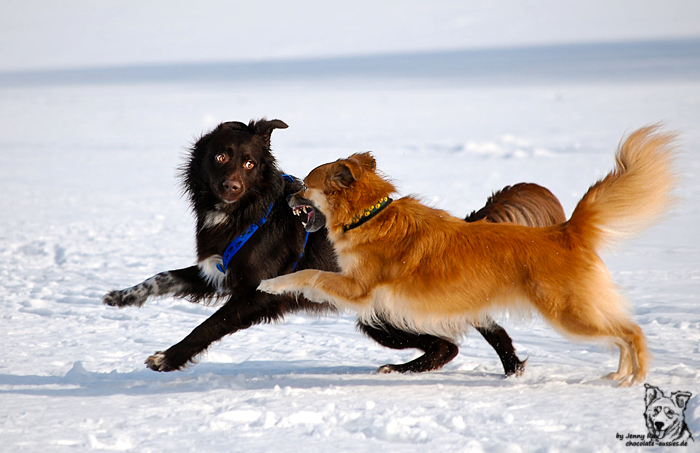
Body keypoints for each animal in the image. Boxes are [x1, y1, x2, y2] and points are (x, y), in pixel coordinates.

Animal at [104, 119, 528, 374]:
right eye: (221, 156)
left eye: (250, 163)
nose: (231, 186)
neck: (248, 211)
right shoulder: (217, 272)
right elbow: (162, 277)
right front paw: (123, 296)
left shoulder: (255, 295)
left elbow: (206, 328)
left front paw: (168, 357)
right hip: (384, 318)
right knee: (449, 344)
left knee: (465, 337)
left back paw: (508, 370)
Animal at [260, 126, 676, 384]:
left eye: (305, 185)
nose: (286, 196)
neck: (369, 216)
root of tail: (565, 231)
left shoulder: (358, 288)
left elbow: (309, 275)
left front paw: (272, 283)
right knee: (620, 333)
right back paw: (619, 374)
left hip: (569, 314)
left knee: (631, 332)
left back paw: (635, 378)